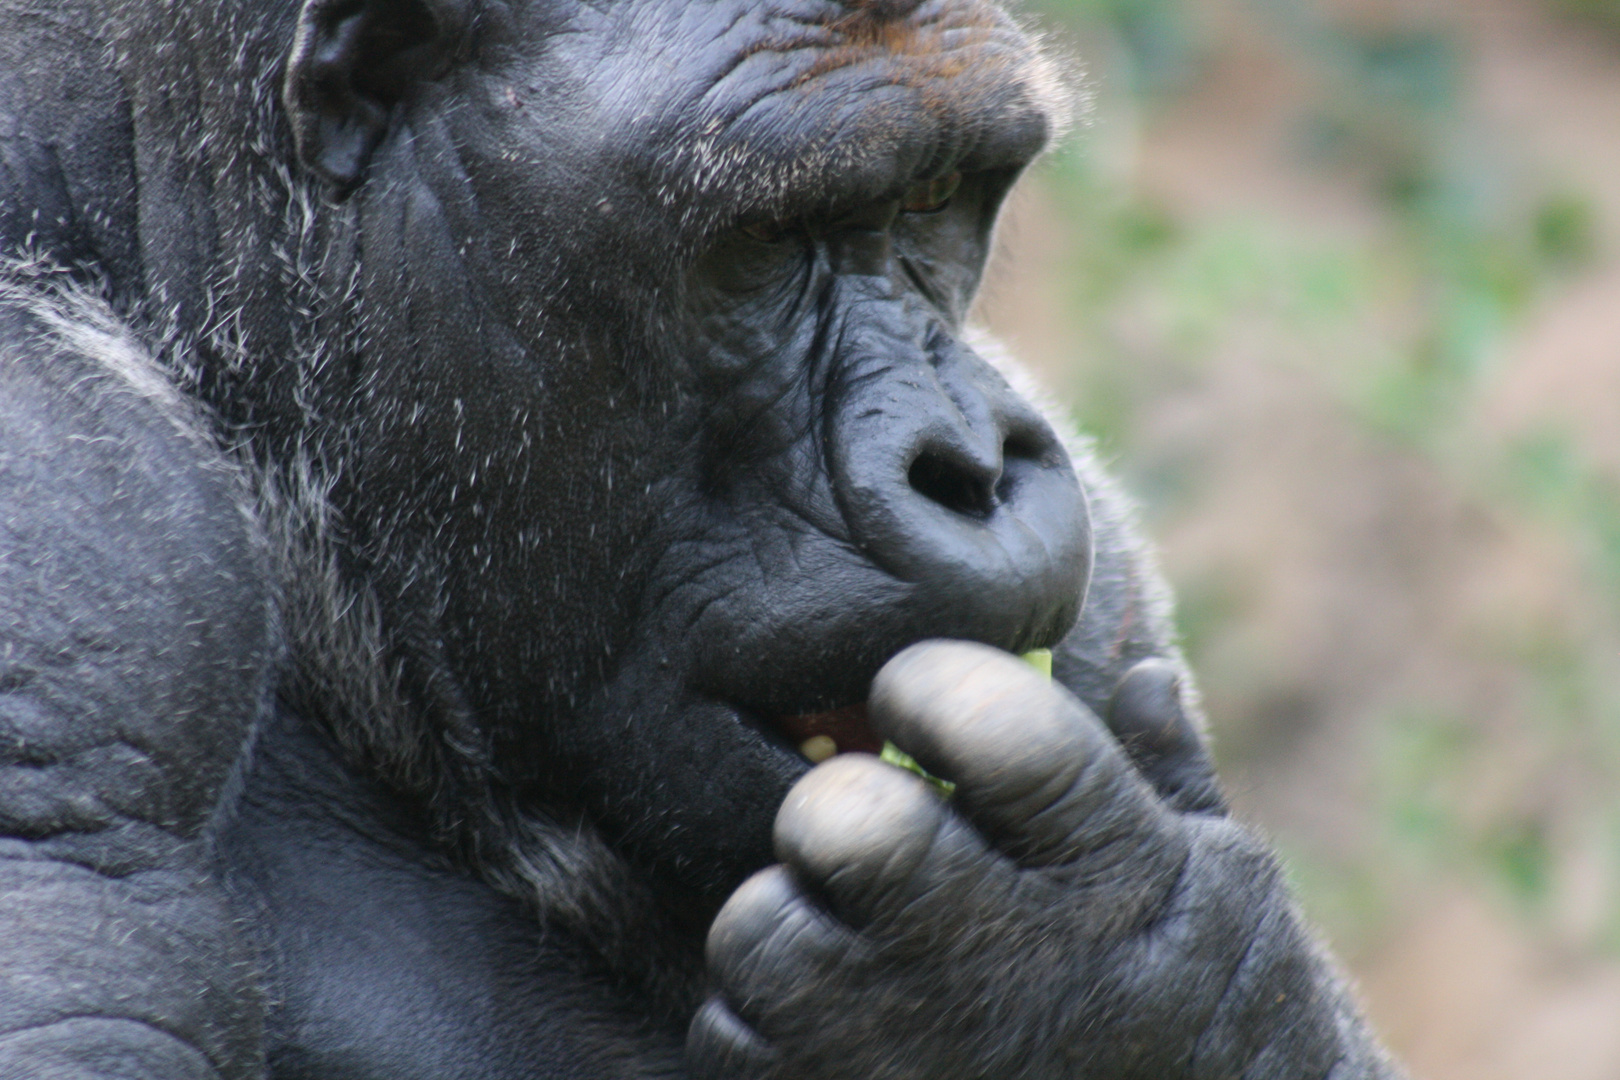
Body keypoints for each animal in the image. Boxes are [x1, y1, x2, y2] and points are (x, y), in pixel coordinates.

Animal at [0, 0, 1406, 1075]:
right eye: (768, 238)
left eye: (935, 197)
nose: (975, 461)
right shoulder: (77, 534)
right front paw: (1062, 972)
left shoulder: (1113, 595)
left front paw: (1110, 984)